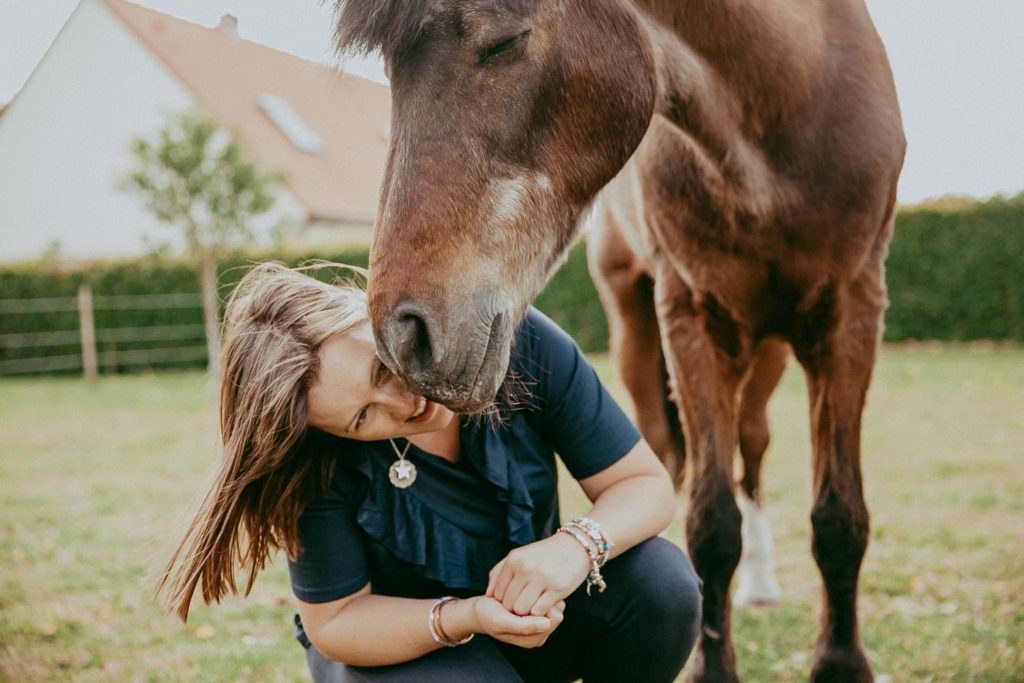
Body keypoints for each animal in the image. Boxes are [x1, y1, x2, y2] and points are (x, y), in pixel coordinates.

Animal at [335, 2, 905, 679]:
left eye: (505, 40)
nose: (403, 336)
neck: (783, 108)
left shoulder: (854, 311)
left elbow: (839, 517)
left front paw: (839, 662)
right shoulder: (690, 318)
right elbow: (711, 522)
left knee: (755, 444)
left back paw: (763, 583)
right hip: (642, 332)